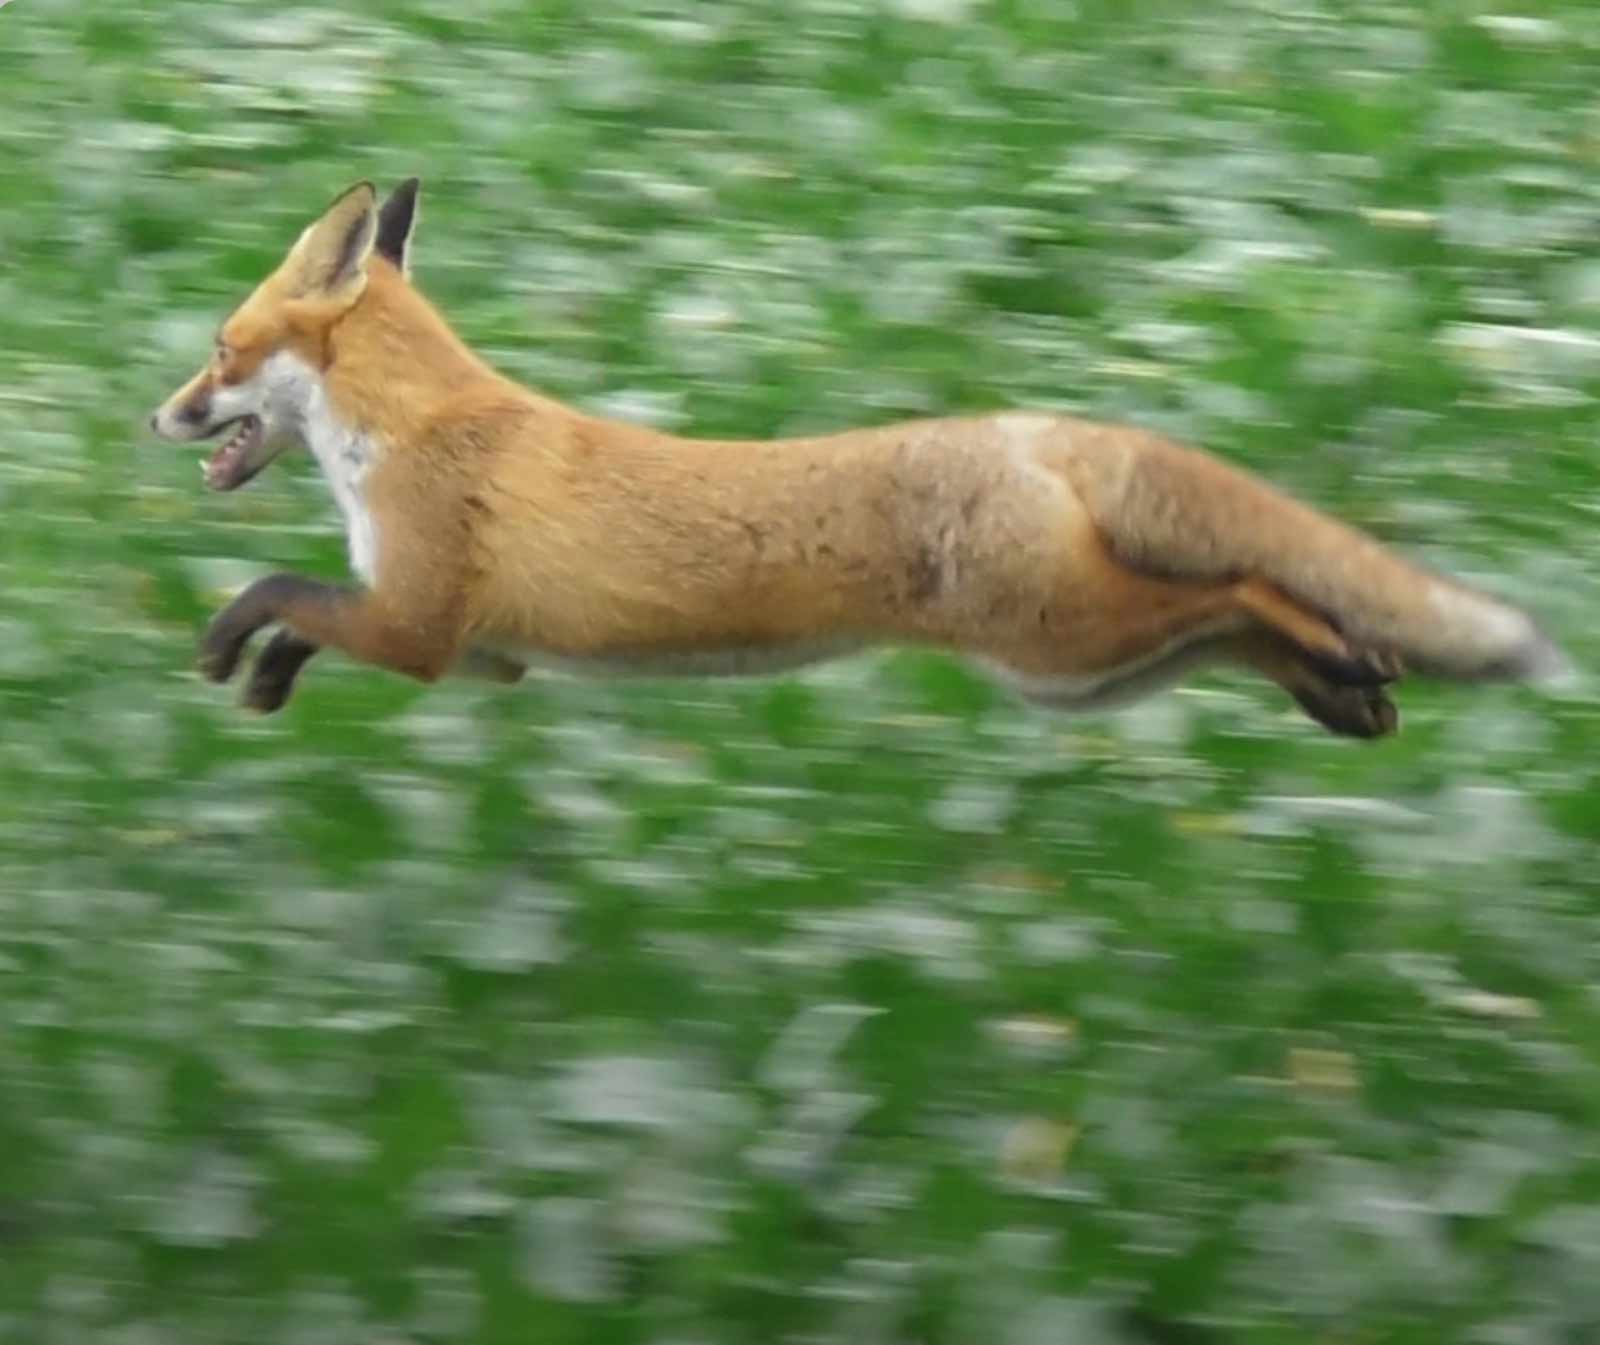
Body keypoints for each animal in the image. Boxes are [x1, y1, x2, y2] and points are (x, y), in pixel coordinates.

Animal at [151, 179, 1569, 738]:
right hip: (1082, 674)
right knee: (1242, 619)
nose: (156, 416)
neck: (419, 433)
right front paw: (266, 677)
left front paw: (231, 649)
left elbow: (281, 591)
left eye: (220, 350)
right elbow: (306, 610)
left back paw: (1341, 660)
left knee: (1250, 589)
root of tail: (1026, 425)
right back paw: (1347, 688)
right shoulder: (477, 656)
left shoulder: (424, 628)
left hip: (1064, 642)